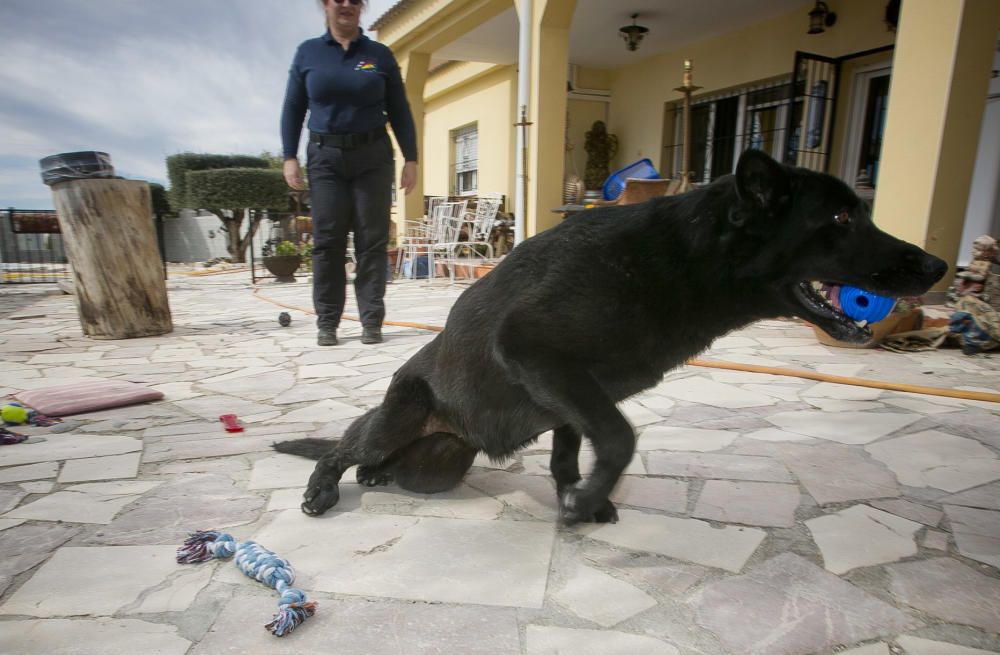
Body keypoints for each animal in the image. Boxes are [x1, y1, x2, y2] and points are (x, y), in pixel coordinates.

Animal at [274, 151, 944, 524]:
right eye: (841, 217)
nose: (937, 266)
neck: (680, 260)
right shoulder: (538, 354)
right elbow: (619, 440)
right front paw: (584, 502)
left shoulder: (571, 400)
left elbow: (573, 453)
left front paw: (580, 497)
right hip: (396, 419)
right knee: (343, 446)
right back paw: (324, 488)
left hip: (435, 466)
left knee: (382, 463)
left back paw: (374, 477)